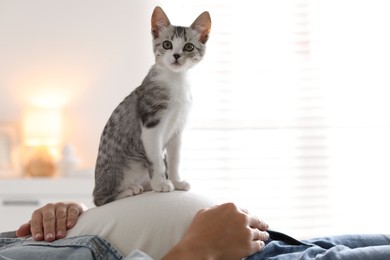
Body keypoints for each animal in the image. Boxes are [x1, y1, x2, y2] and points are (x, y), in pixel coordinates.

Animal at [93, 6, 212, 206]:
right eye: (167, 44)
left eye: (188, 47)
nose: (176, 55)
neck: (176, 81)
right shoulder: (151, 123)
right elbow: (156, 158)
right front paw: (160, 183)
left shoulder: (178, 128)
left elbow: (174, 158)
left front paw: (177, 181)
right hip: (126, 167)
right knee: (101, 200)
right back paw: (130, 190)